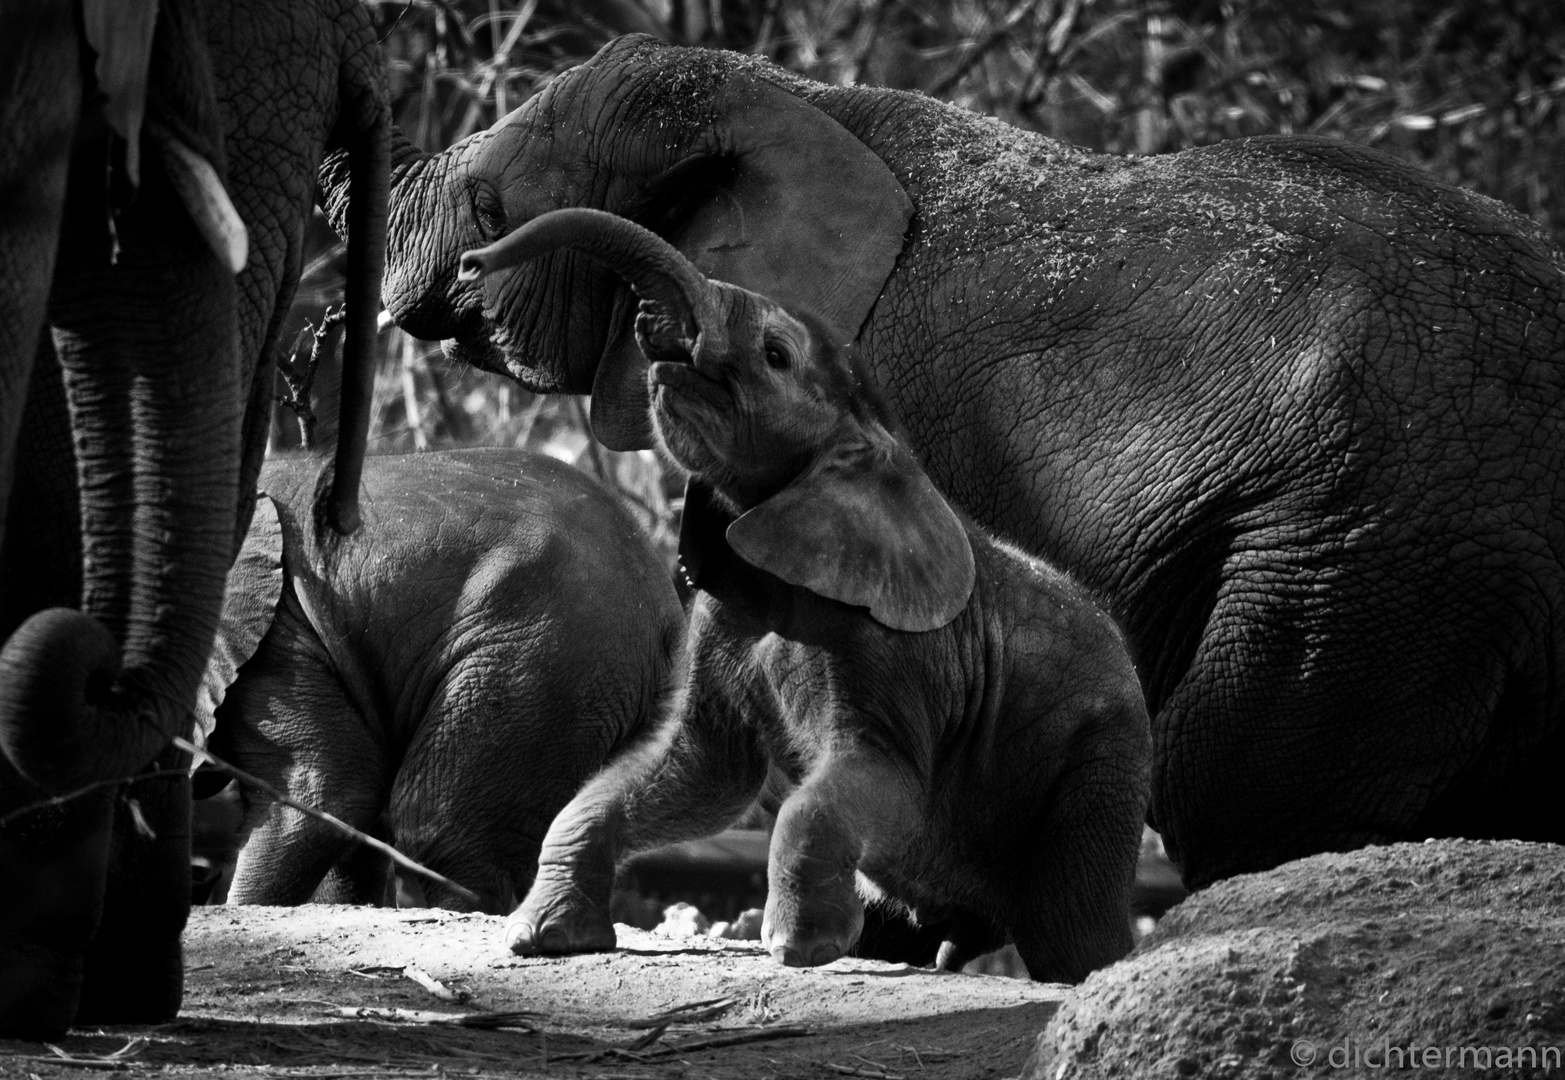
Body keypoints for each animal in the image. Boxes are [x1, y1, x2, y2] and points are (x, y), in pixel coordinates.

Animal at [463, 208, 1151, 976]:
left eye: (774, 354)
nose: (470, 261)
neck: (871, 438)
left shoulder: (892, 651)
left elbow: (878, 784)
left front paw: (800, 950)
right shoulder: (720, 619)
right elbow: (700, 772)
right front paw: (541, 939)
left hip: (1101, 765)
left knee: (1074, 933)